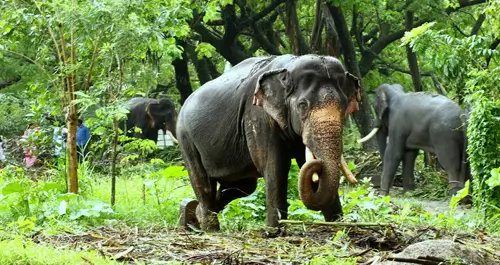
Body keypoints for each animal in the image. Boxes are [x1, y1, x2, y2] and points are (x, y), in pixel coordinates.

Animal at [177, 52, 364, 230]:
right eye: (303, 105)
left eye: (344, 107)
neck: (289, 66)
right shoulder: (257, 116)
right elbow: (275, 166)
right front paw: (274, 231)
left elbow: (302, 163)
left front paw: (338, 226)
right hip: (185, 137)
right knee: (203, 182)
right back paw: (209, 227)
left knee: (243, 187)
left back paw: (192, 213)